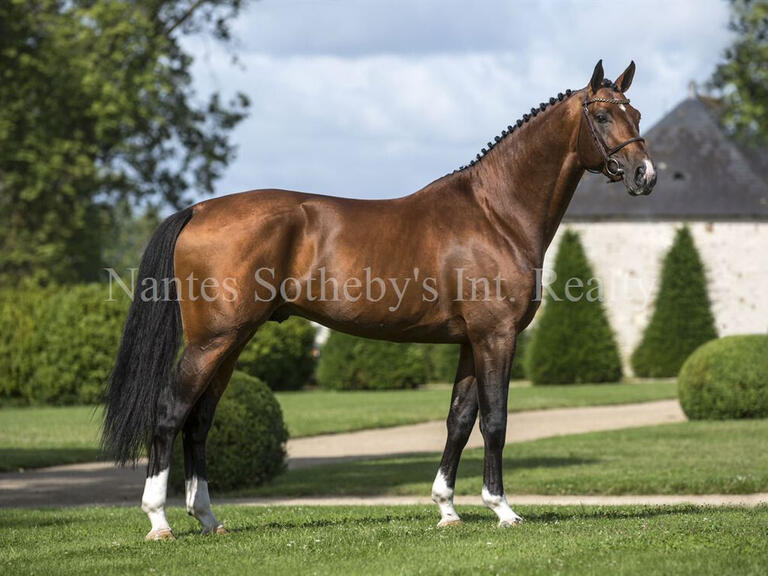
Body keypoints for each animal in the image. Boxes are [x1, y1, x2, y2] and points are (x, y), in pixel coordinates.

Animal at [100, 60, 656, 536]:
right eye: (602, 115)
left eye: (636, 114)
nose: (645, 175)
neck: (494, 213)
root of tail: (198, 209)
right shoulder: (495, 336)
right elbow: (495, 421)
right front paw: (502, 509)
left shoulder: (469, 341)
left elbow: (459, 420)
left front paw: (447, 509)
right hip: (213, 340)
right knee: (171, 411)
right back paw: (159, 520)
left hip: (231, 342)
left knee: (200, 421)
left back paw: (209, 518)